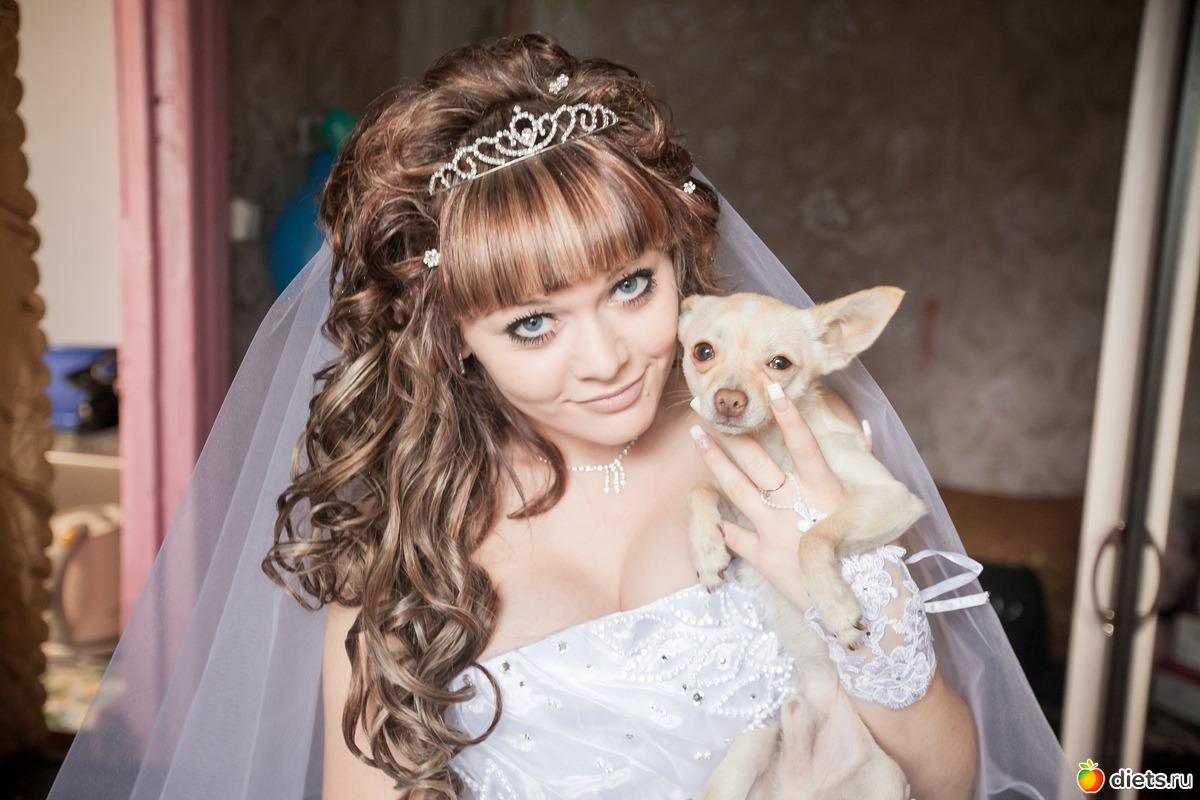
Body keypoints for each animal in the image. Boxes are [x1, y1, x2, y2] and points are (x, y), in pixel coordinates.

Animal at [678, 287, 926, 800]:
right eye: (703, 352)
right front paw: (707, 549)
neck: (775, 448)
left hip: (887, 781)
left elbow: (811, 535)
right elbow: (701, 488)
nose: (728, 400)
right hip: (749, 749)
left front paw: (834, 607)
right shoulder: (742, 508)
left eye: (780, 364)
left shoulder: (892, 497)